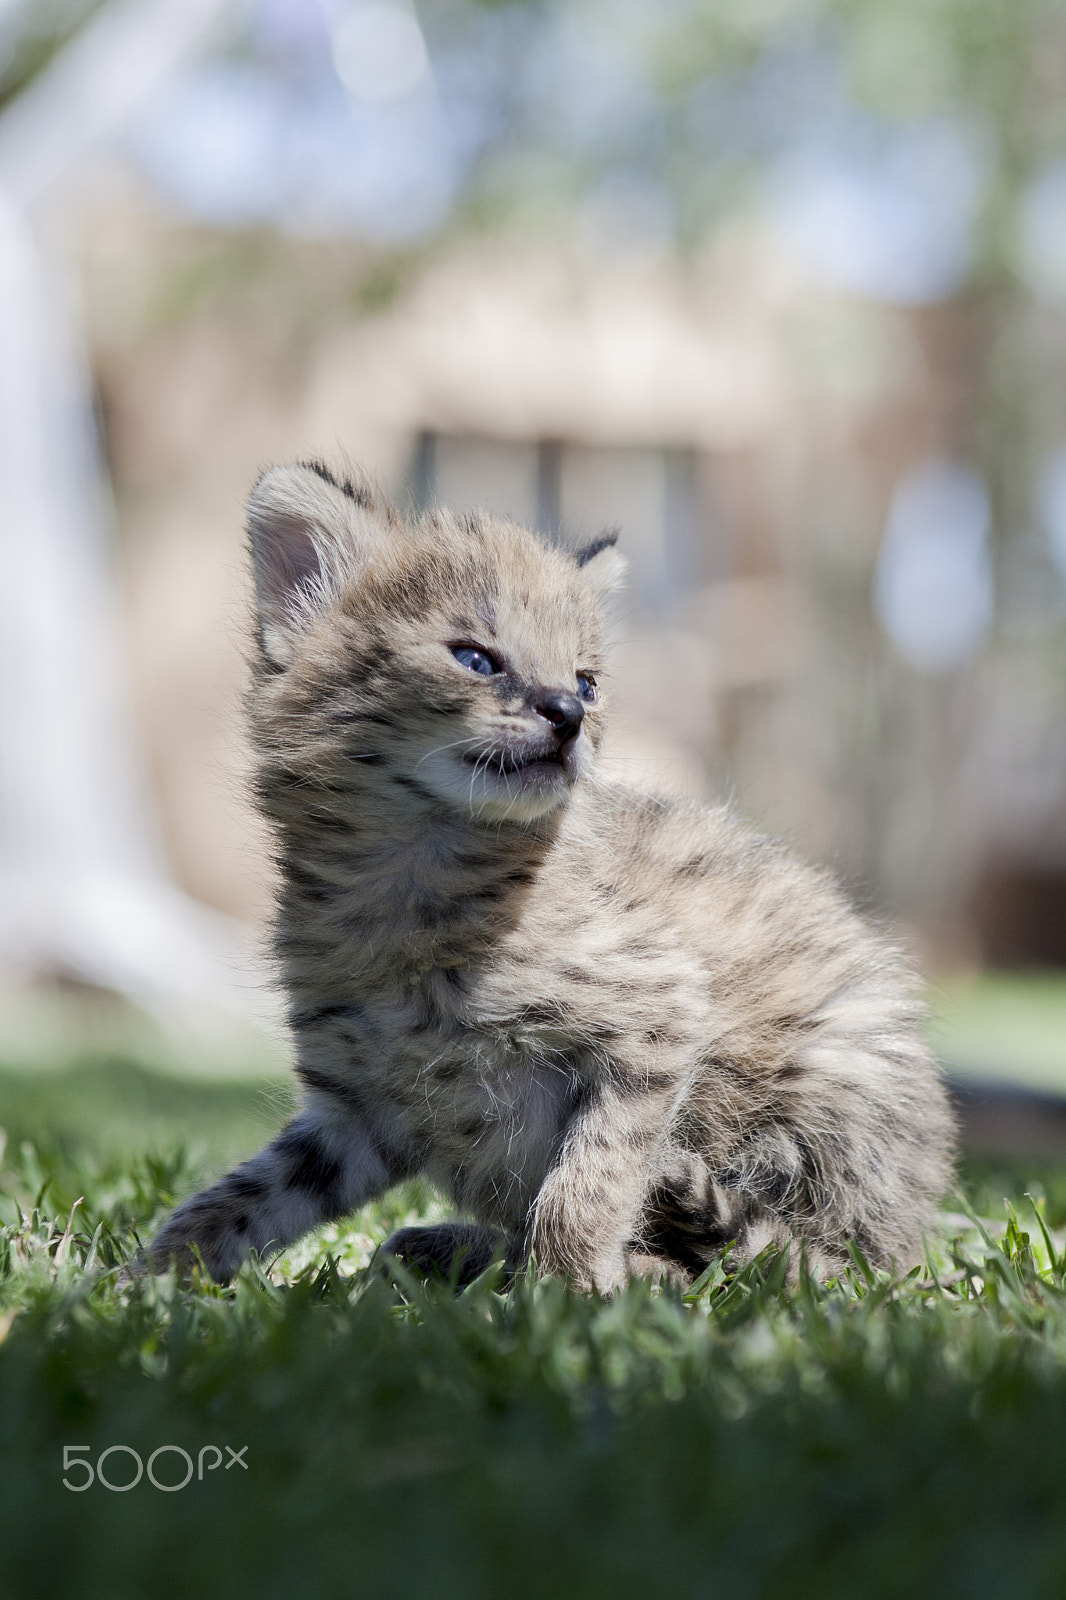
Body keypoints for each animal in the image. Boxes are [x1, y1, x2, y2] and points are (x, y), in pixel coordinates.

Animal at [147, 460, 947, 1286]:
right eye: (475, 658)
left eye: (587, 682)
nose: (567, 712)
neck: (410, 875)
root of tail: (911, 1236)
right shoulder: (359, 1109)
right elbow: (237, 1198)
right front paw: (141, 1282)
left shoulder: (658, 1019)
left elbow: (589, 1179)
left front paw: (570, 1292)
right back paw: (457, 1249)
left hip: (834, 1080)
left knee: (815, 1263)